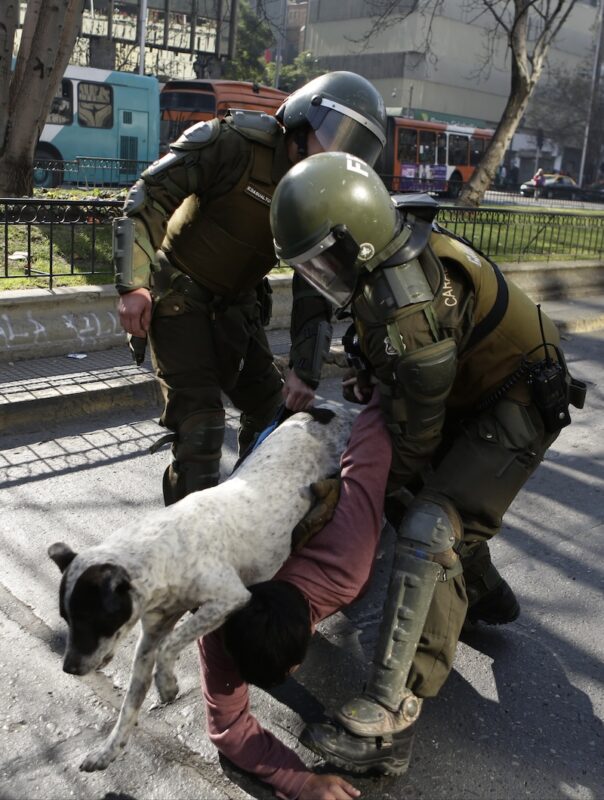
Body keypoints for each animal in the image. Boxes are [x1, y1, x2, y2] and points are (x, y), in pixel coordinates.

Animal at [48, 406, 354, 768]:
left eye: (91, 620)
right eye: (66, 619)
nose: (68, 668)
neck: (163, 553)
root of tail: (323, 410)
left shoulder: (229, 598)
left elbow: (173, 643)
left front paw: (167, 684)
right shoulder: (150, 637)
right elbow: (129, 706)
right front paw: (108, 750)